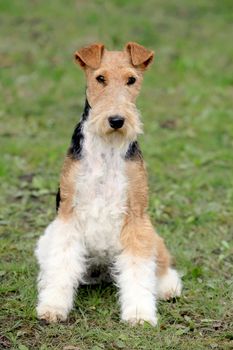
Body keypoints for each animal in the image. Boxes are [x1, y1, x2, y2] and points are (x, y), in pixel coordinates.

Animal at [35, 41, 182, 326]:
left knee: (162, 265)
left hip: (153, 235)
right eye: (100, 78)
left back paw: (168, 287)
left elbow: (138, 271)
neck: (108, 146)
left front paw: (139, 314)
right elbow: (62, 264)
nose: (116, 120)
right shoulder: (68, 214)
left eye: (132, 80)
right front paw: (52, 307)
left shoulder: (136, 216)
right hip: (47, 238)